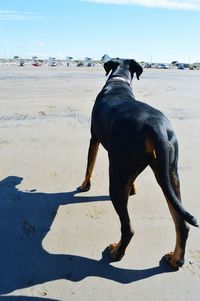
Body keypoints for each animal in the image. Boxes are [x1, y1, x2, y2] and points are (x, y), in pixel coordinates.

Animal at [80, 58, 198, 268]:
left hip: (118, 176)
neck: (118, 81)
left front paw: (84, 185)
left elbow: (89, 166)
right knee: (182, 224)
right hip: (168, 172)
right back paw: (176, 258)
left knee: (128, 228)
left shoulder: (94, 138)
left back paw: (117, 251)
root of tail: (155, 125)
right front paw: (133, 189)